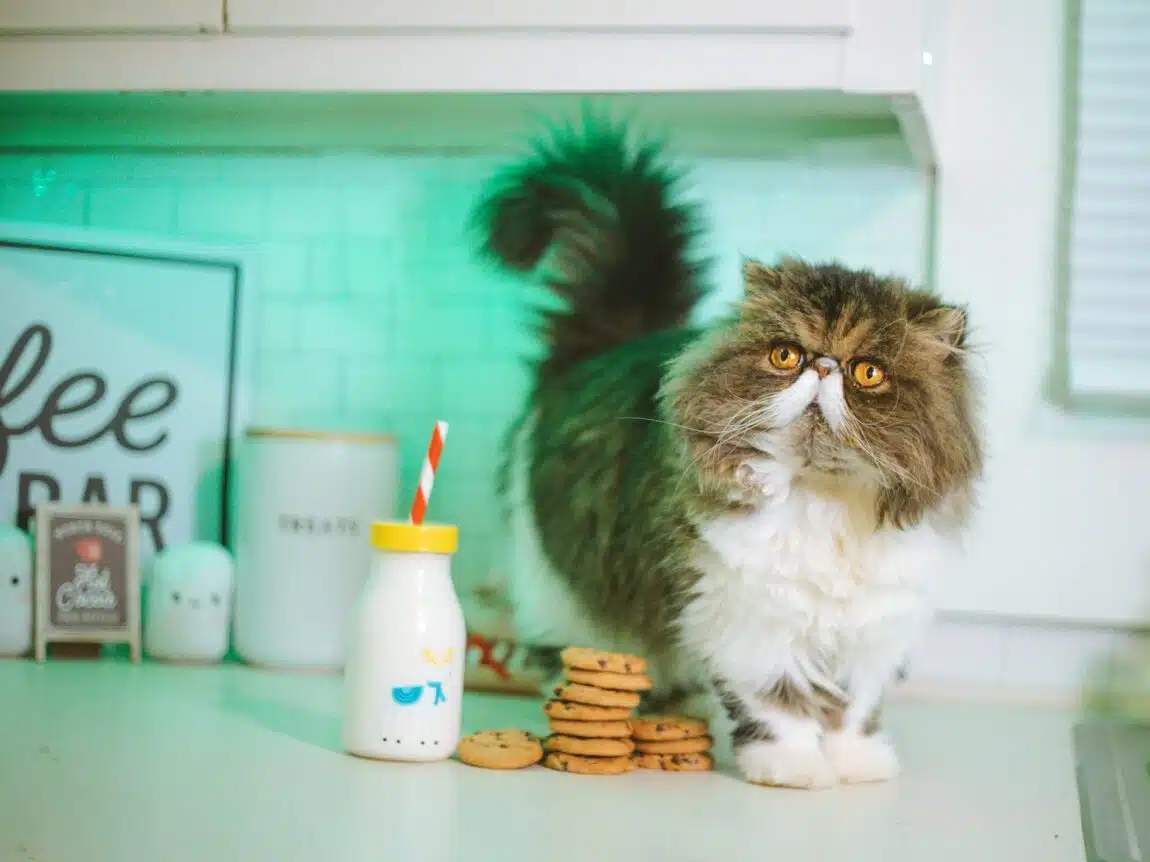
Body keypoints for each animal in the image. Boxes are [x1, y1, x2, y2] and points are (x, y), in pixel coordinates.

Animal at [471, 118, 984, 795]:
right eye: (786, 356)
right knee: (570, 647)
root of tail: (608, 343)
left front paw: (857, 764)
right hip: (563, 590)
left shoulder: (873, 629)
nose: (824, 367)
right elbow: (778, 702)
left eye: (868, 373)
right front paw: (793, 768)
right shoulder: (743, 618)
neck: (823, 500)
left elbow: (853, 709)